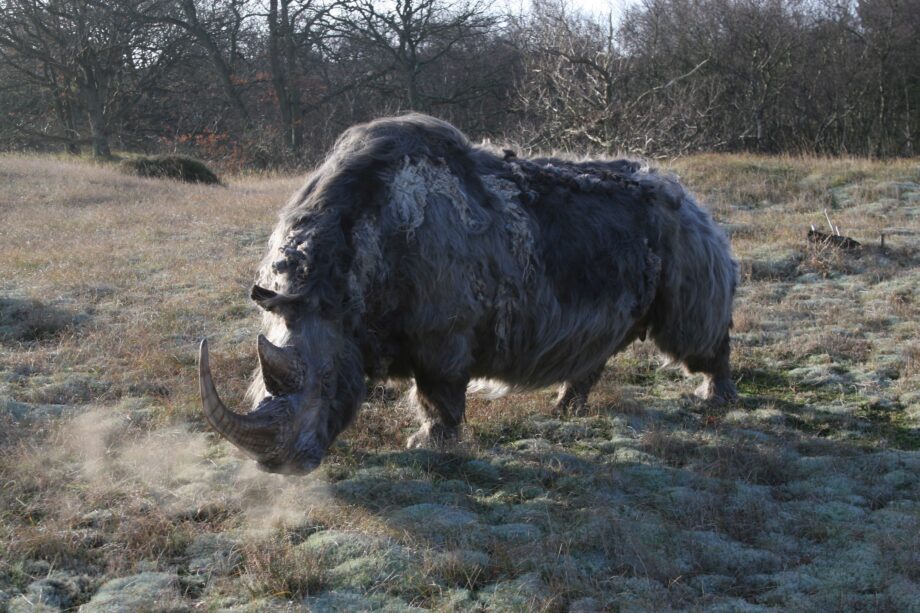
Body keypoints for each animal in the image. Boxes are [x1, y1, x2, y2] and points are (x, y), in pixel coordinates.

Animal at [198, 114, 737, 474]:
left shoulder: (443, 332)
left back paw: (716, 400)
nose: (280, 466)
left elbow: (437, 391)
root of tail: (690, 196)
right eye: (261, 382)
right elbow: (433, 391)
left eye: (327, 383)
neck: (336, 295)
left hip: (683, 237)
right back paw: (566, 408)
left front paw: (429, 445)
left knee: (692, 330)